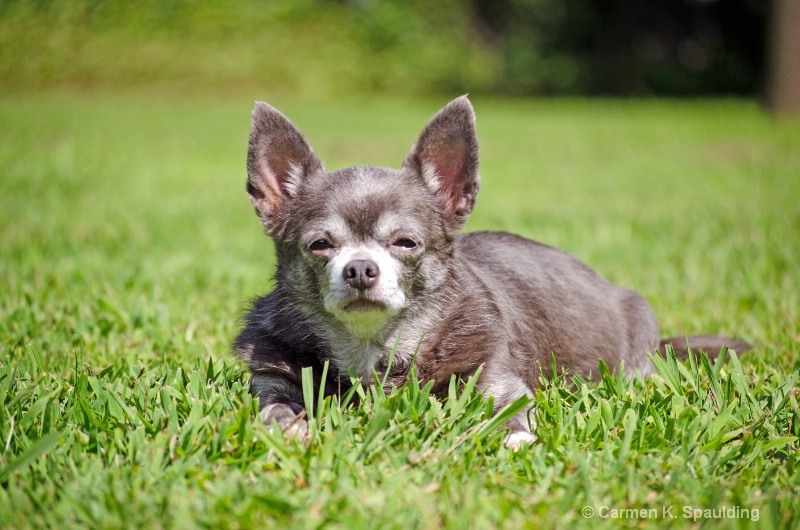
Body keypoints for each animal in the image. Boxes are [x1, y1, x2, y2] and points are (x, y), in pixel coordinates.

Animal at [233, 95, 752, 446]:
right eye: (320, 246)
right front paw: (288, 427)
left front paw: (516, 439)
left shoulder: (497, 378)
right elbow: (273, 406)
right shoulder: (270, 377)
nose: (361, 269)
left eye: (406, 243)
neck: (371, 351)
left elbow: (509, 410)